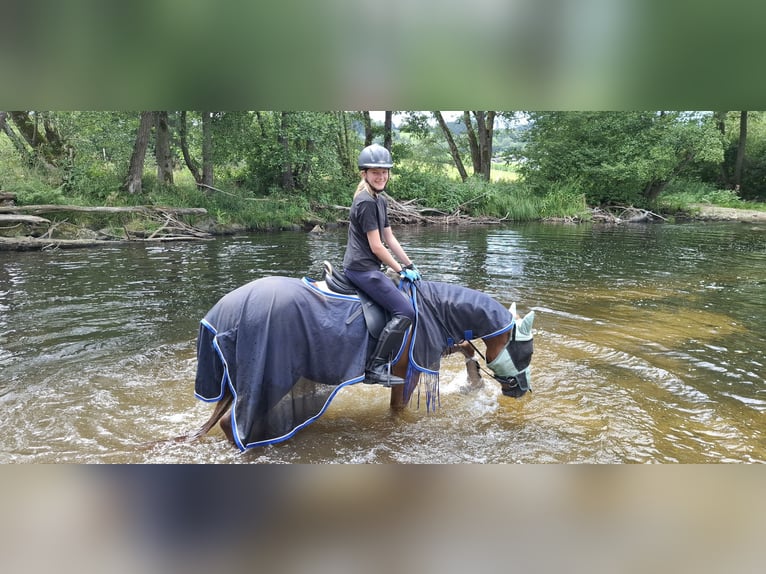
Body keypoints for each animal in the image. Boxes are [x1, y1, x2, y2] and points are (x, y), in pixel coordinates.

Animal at [188, 264, 535, 451]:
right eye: (526, 351)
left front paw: (473, 383)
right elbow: (397, 411)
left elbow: (465, 346)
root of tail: (220, 314)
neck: (429, 309)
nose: (522, 390)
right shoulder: (404, 373)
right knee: (230, 425)